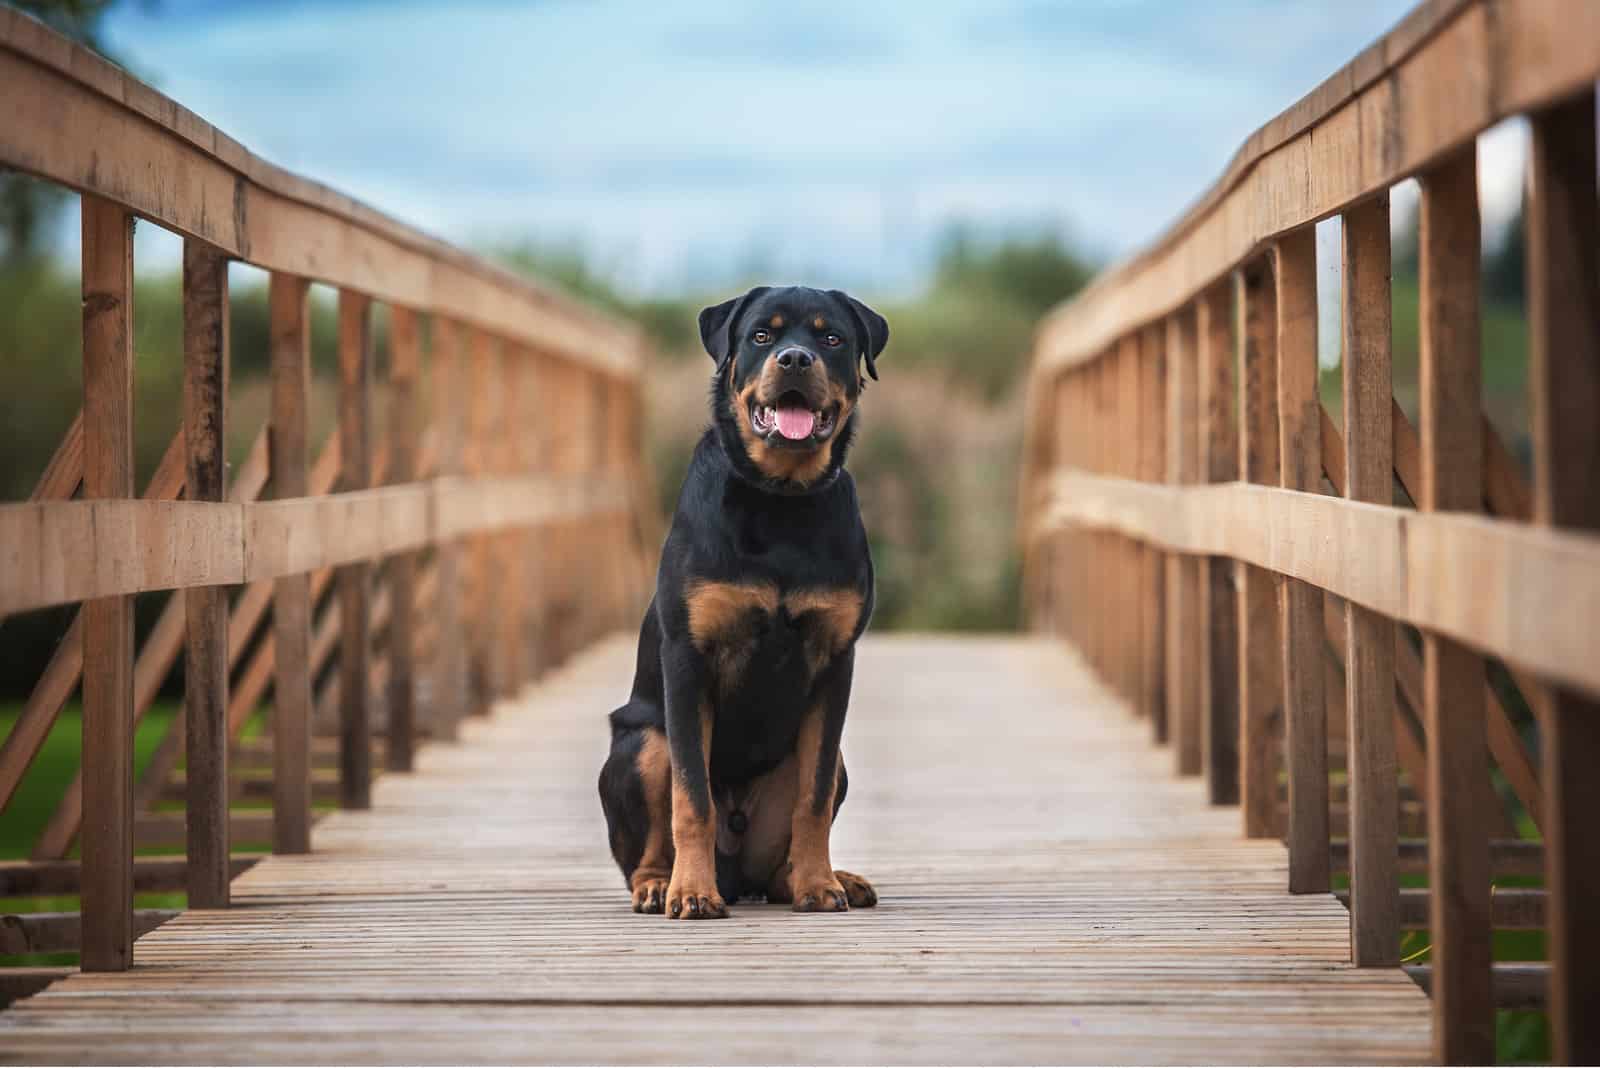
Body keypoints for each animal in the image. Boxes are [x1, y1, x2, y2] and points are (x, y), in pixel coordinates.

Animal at [598, 282, 889, 920]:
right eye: (761, 334)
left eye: (832, 338)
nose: (795, 359)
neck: (779, 498)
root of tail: (742, 878)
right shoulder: (688, 659)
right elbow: (691, 798)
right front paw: (691, 891)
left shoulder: (836, 661)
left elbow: (813, 798)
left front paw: (819, 884)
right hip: (641, 742)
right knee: (650, 839)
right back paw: (659, 884)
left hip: (834, 765)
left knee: (790, 843)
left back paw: (825, 878)